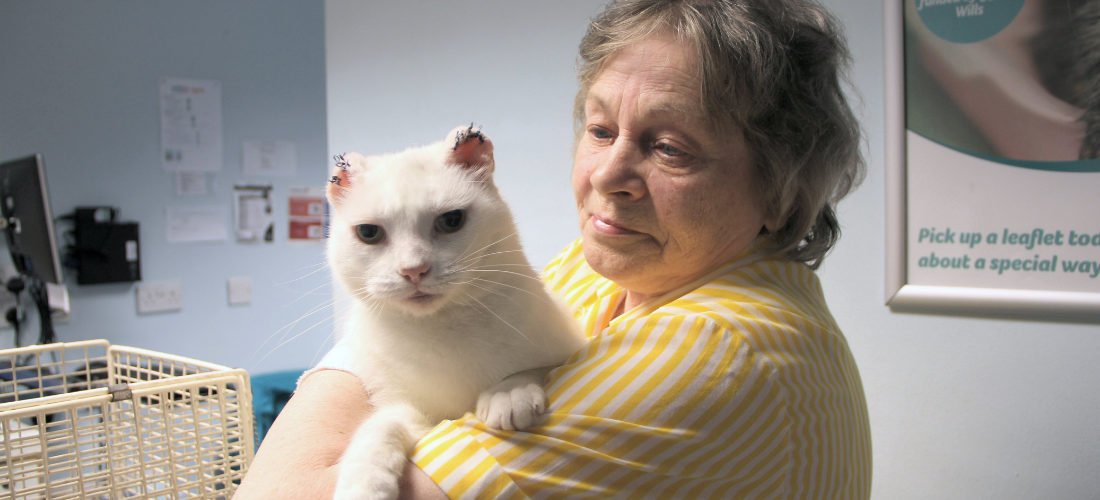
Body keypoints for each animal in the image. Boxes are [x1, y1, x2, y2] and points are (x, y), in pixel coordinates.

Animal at [323, 126, 589, 500]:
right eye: (369, 232)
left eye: (451, 220)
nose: (413, 270)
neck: (443, 330)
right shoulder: (415, 413)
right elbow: (380, 428)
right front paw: (364, 485)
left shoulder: (568, 345)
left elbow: (535, 367)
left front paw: (509, 393)